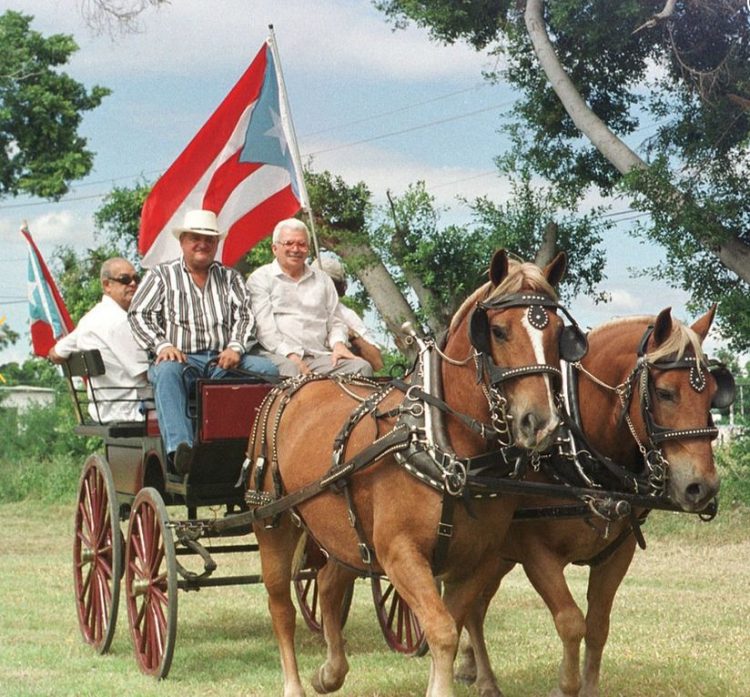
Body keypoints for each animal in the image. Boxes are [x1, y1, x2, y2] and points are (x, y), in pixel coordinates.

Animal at [248, 250, 588, 696]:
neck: (443, 445)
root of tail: (295, 383)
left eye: (559, 333)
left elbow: (450, 624)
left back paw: (330, 672)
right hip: (273, 523)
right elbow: (441, 629)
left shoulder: (477, 558)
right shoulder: (401, 553)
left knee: (329, 584)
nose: (541, 423)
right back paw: (294, 683)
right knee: (280, 606)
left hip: (344, 532)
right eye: (497, 331)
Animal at [458, 308, 736, 696]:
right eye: (665, 393)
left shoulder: (616, 555)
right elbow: (571, 621)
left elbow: (598, 624)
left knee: (477, 604)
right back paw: (485, 680)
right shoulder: (536, 554)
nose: (703, 487)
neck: (576, 452)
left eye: (712, 394)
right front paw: (565, 685)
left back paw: (471, 667)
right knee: (472, 607)